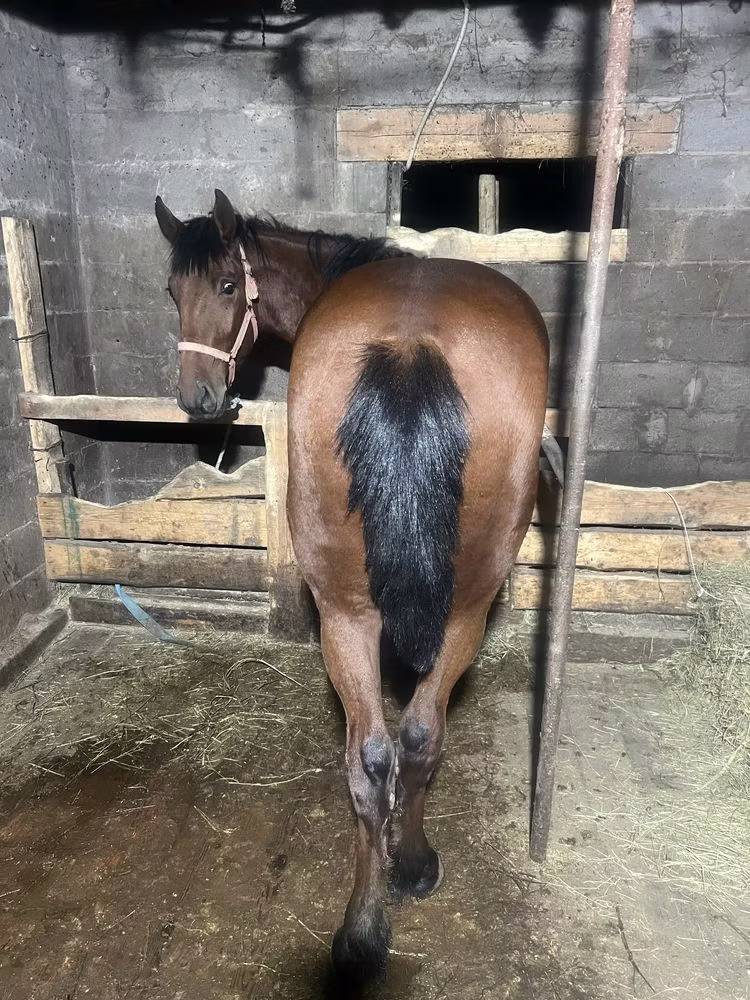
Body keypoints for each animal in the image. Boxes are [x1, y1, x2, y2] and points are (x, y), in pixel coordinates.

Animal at [156, 189, 549, 982]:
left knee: (381, 756)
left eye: (224, 286)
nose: (199, 399)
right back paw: (400, 881)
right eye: (172, 293)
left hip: (352, 611)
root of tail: (408, 346)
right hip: (442, 609)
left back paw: (372, 914)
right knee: (413, 740)